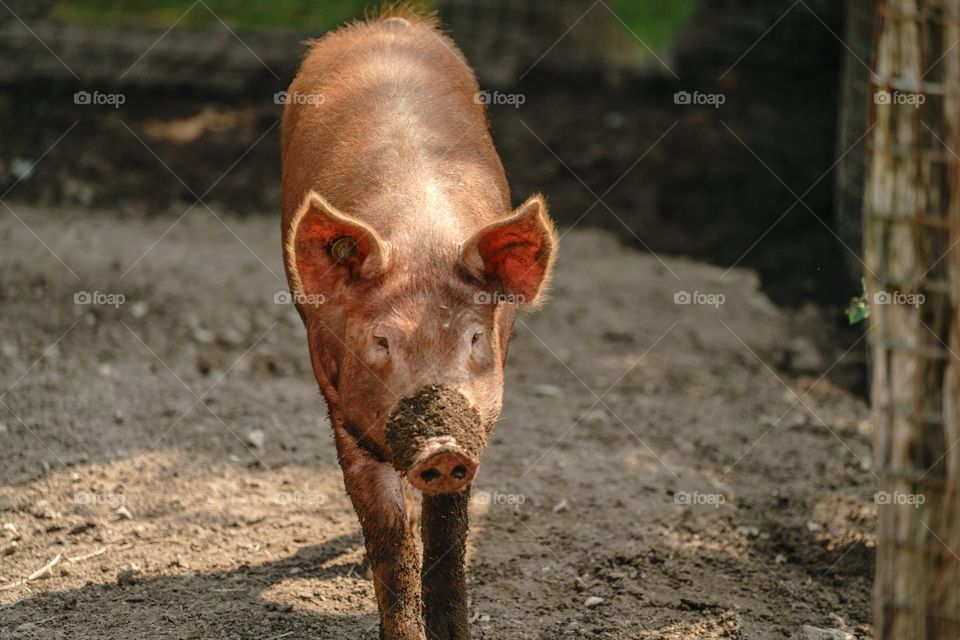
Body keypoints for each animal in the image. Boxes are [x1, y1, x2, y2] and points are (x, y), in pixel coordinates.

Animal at [280, 8, 557, 640]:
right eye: (381, 340)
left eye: (475, 337)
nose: (440, 446)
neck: (420, 239)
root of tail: (385, 22)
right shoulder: (340, 402)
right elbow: (388, 535)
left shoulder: (480, 419)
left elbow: (449, 532)